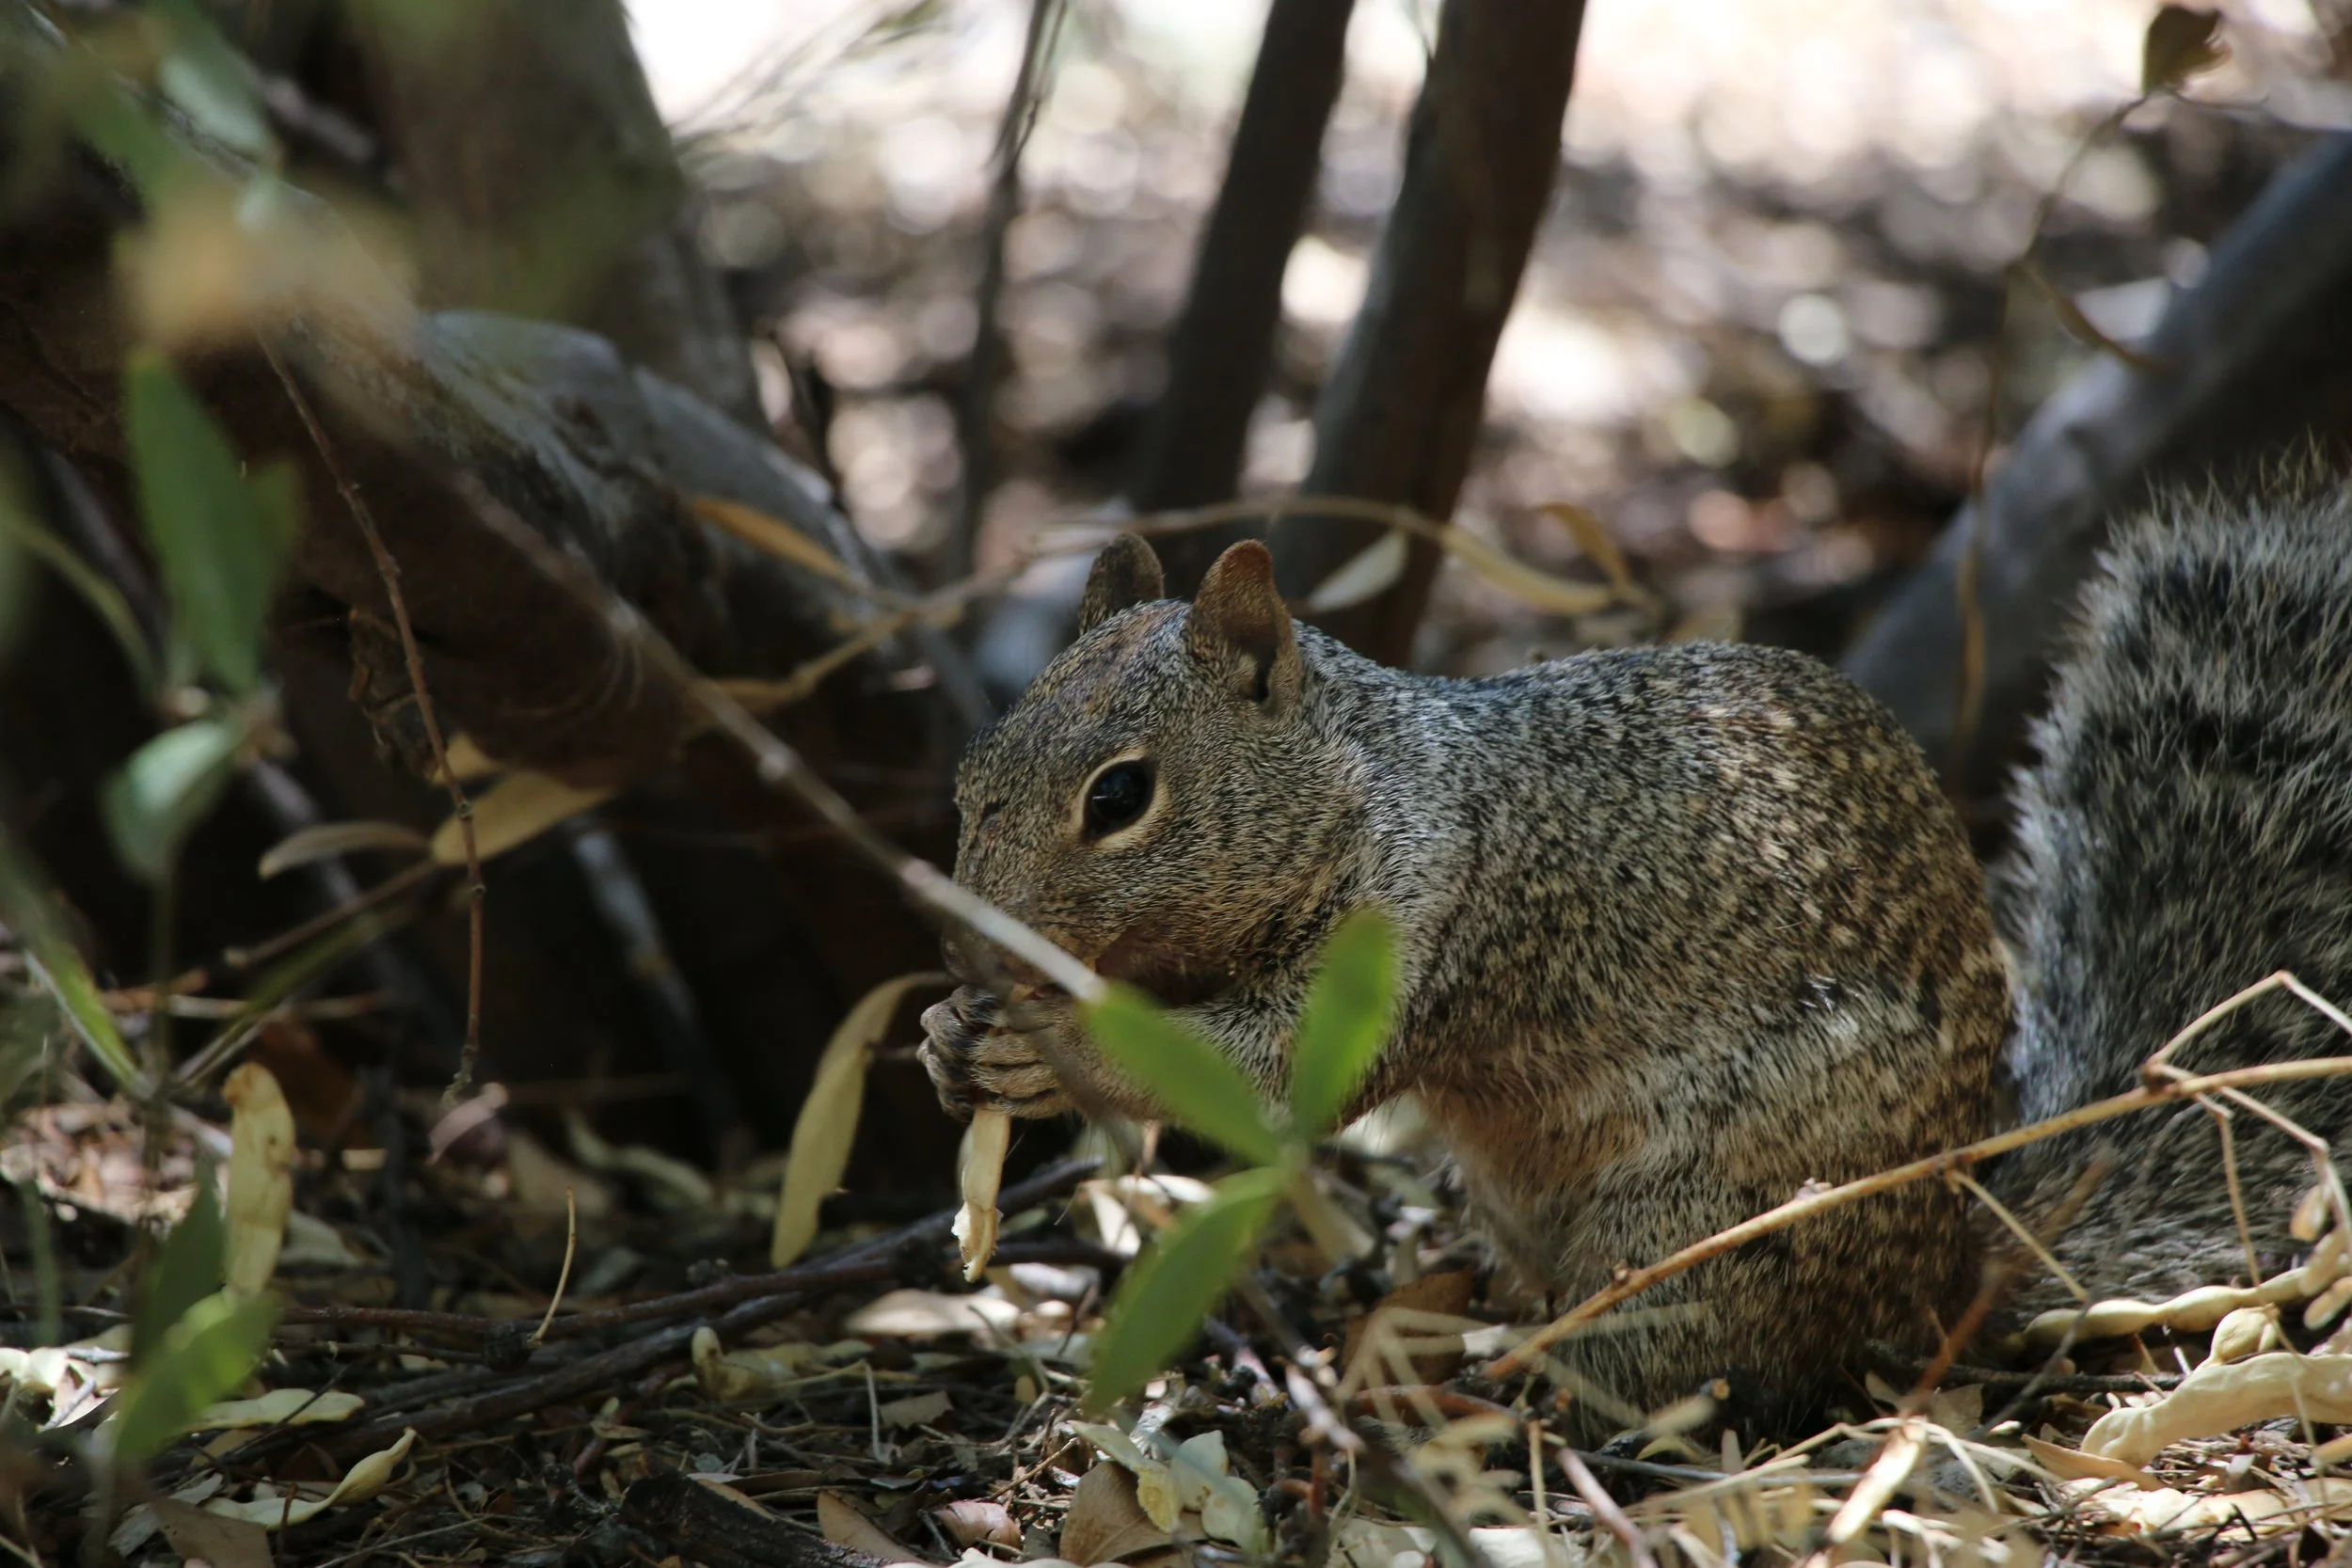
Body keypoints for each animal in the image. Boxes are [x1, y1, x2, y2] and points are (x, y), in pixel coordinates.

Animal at [919, 471, 2352, 1430]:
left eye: (1119, 795)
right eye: (972, 771)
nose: (965, 943)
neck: (1364, 781)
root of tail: (1947, 1265)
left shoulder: (1424, 920)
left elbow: (1258, 1078)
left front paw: (1047, 1042)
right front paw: (953, 1038)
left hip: (1706, 1233)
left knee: (1682, 1369)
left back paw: (1506, 1393)